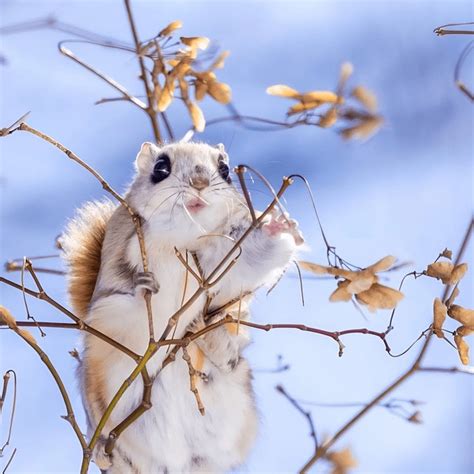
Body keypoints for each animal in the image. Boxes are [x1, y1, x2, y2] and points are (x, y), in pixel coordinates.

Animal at [60, 142, 304, 474]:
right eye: (160, 168)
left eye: (224, 170)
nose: (199, 182)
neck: (183, 233)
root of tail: (175, 464)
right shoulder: (118, 266)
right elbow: (128, 295)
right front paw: (144, 287)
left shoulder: (222, 259)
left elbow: (249, 260)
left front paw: (278, 226)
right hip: (96, 395)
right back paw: (103, 451)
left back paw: (211, 339)